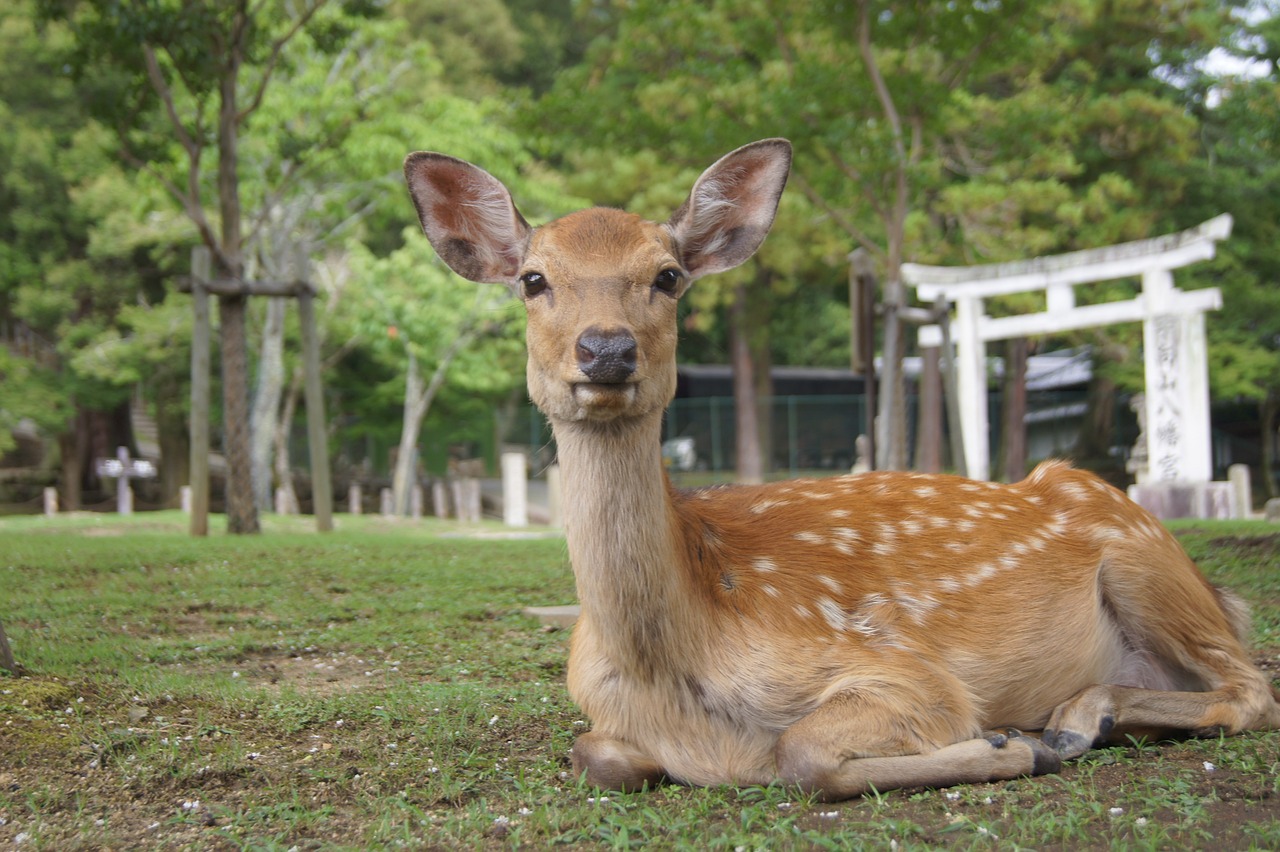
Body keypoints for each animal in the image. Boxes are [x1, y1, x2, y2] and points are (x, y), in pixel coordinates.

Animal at [407, 137, 1280, 798]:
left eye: (668, 275)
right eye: (533, 279)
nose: (607, 349)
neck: (671, 675)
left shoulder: (905, 671)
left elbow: (802, 753)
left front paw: (1009, 745)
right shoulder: (603, 719)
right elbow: (596, 755)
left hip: (1141, 558)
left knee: (1250, 688)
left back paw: (1072, 720)